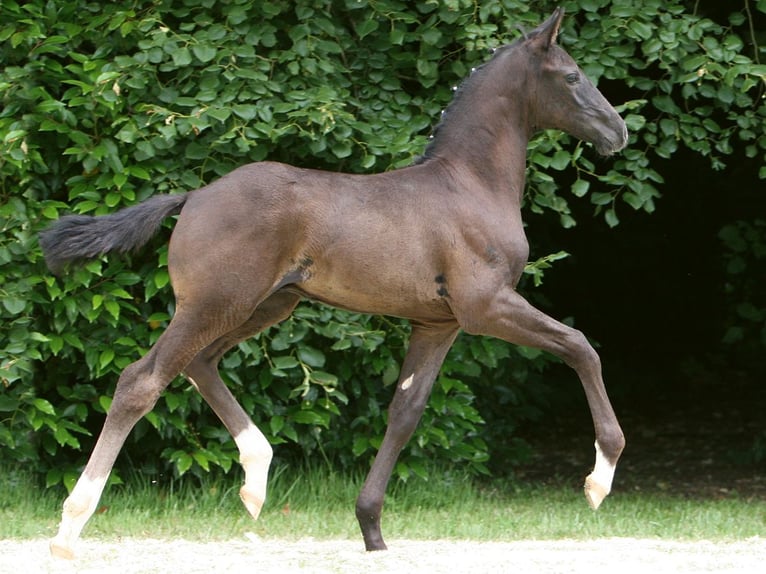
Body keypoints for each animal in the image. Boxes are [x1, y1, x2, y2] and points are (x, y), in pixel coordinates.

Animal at [42, 7, 628, 560]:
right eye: (572, 76)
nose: (617, 131)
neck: (469, 184)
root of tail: (193, 197)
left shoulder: (437, 323)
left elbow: (405, 413)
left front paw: (372, 530)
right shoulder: (487, 307)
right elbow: (581, 346)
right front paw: (600, 478)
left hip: (265, 305)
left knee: (199, 364)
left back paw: (256, 478)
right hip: (215, 303)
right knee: (141, 381)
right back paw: (71, 527)